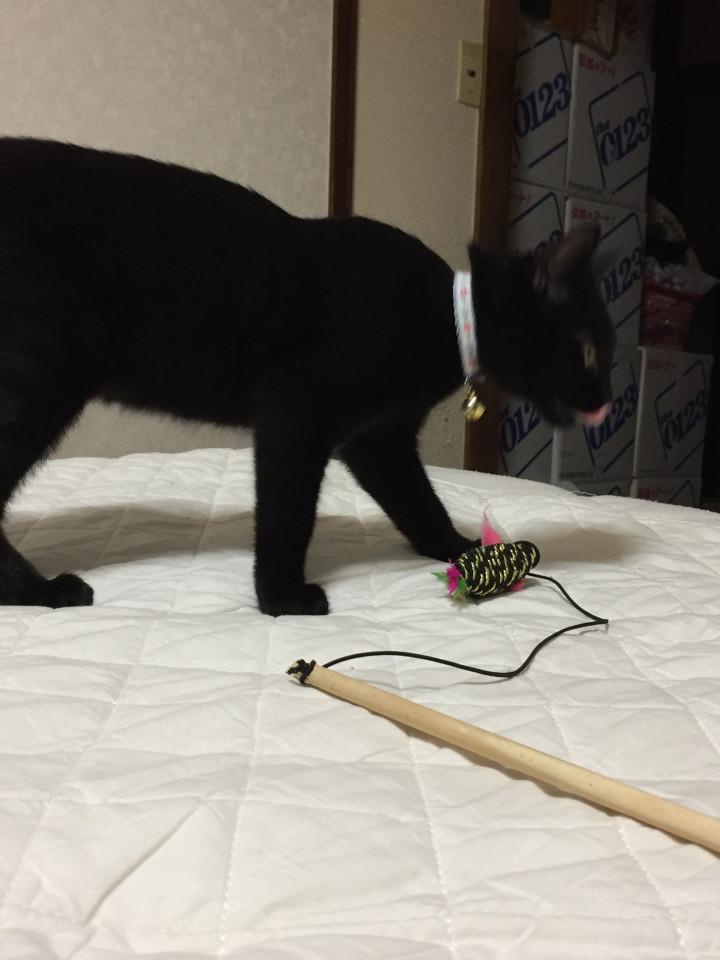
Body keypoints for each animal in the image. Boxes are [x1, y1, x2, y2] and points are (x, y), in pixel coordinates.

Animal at [0, 138, 615, 616]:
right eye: (588, 352)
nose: (607, 400)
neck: (445, 314)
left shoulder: (378, 439)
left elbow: (419, 503)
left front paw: (462, 550)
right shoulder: (296, 409)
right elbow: (286, 512)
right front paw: (281, 598)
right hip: (47, 371)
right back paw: (41, 592)